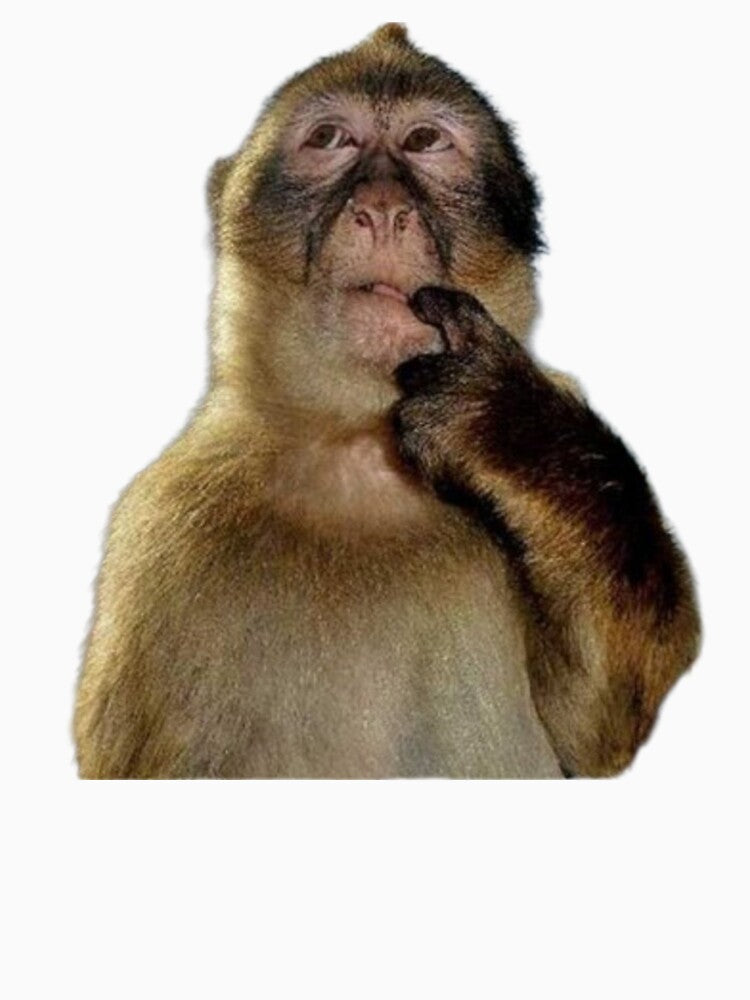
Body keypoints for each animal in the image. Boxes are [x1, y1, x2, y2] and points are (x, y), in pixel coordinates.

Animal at [74, 23, 700, 779]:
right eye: (330, 139)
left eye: (425, 141)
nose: (381, 209)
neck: (359, 450)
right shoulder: (161, 539)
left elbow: (595, 728)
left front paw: (508, 423)